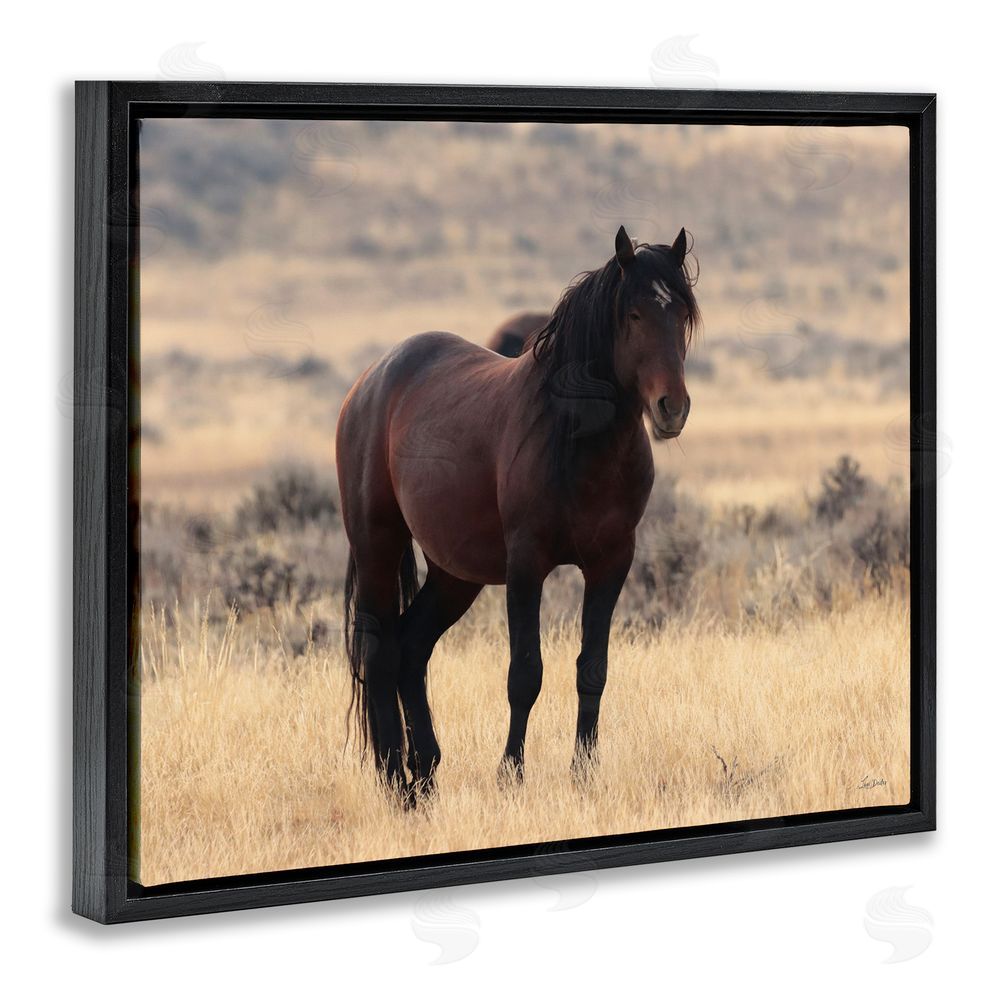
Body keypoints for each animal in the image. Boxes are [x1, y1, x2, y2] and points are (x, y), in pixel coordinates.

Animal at [336, 225, 700, 798]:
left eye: (682, 313)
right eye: (634, 314)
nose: (672, 408)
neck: (578, 442)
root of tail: (369, 382)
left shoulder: (611, 563)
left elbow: (592, 668)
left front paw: (584, 773)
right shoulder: (527, 565)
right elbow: (525, 673)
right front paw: (511, 772)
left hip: (454, 575)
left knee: (412, 649)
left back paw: (426, 772)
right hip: (378, 546)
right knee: (380, 651)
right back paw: (395, 779)